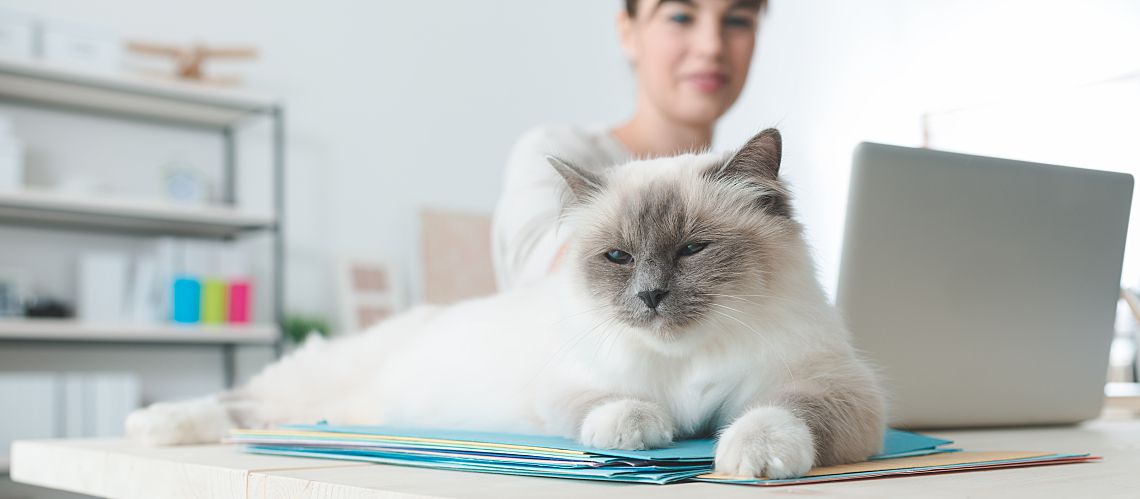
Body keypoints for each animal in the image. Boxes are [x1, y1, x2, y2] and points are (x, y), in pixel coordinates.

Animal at [127, 129, 889, 478]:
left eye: (693, 250)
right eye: (618, 258)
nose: (649, 296)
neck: (684, 361)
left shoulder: (831, 387)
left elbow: (774, 414)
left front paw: (746, 455)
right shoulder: (567, 386)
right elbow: (615, 410)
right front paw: (649, 430)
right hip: (311, 387)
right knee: (239, 401)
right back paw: (152, 424)